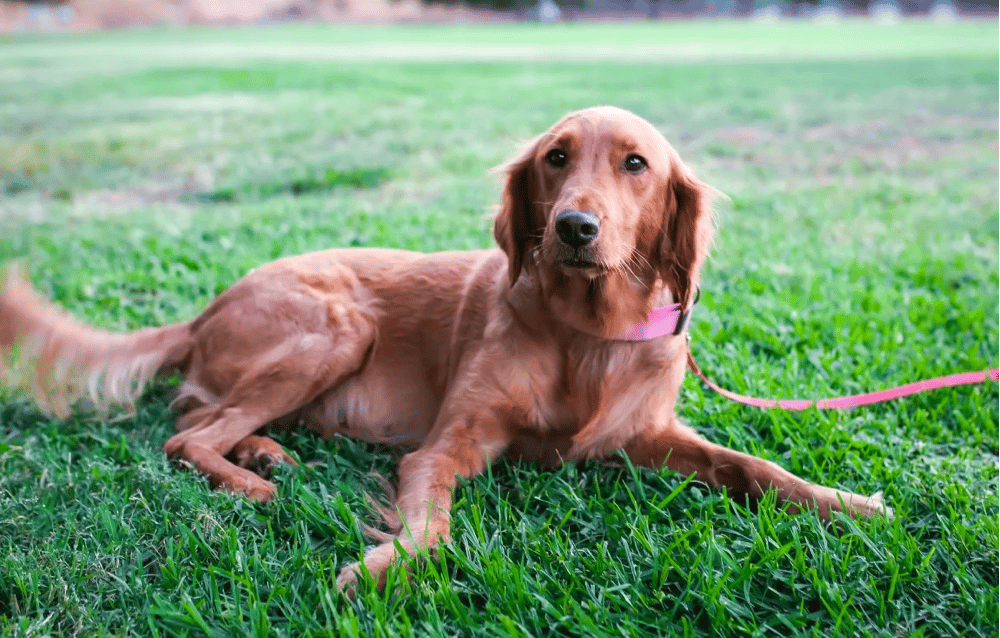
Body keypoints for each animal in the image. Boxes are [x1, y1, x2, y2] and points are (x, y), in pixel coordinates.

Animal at [1, 107, 892, 592]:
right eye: (555, 158)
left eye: (635, 164)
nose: (574, 226)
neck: (588, 335)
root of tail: (209, 305)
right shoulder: (445, 447)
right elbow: (431, 526)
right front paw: (379, 571)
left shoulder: (647, 436)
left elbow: (753, 466)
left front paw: (848, 503)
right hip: (337, 325)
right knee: (186, 433)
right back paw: (254, 482)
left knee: (200, 415)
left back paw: (264, 454)